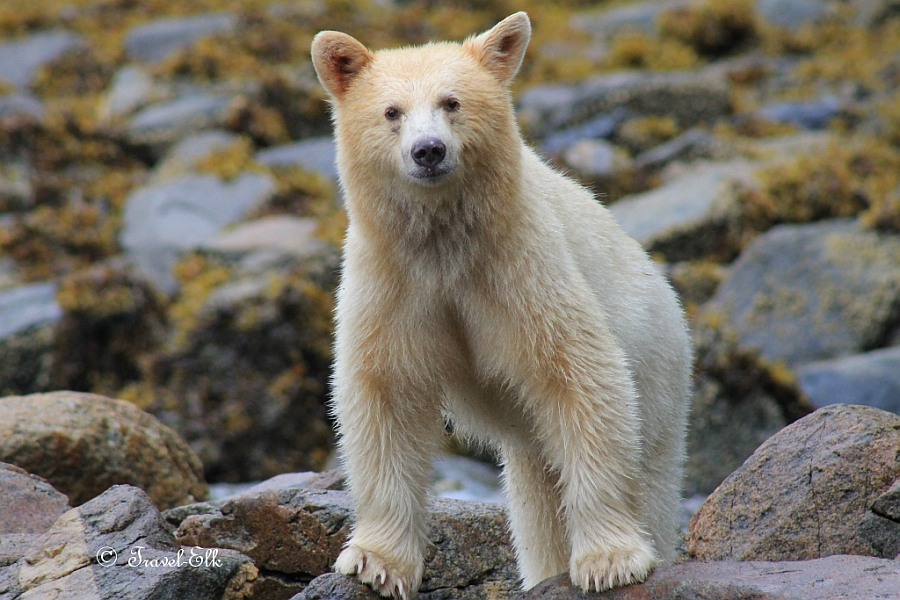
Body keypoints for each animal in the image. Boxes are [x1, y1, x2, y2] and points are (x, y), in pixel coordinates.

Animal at [310, 14, 688, 600]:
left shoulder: (521, 266)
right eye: (392, 111)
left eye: (452, 101)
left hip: (658, 374)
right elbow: (385, 393)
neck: (445, 241)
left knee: (648, 471)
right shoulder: (391, 279)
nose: (428, 150)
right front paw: (376, 561)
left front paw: (610, 560)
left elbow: (581, 375)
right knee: (536, 493)